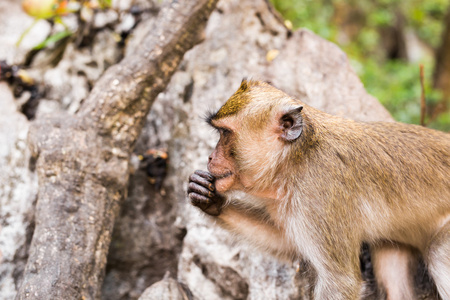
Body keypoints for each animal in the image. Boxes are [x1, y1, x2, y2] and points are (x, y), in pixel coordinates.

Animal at [187, 79, 450, 300]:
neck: (295, 159)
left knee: (438, 254)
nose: (210, 157)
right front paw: (210, 199)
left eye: (225, 133)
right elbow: (286, 242)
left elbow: (340, 281)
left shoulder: (318, 195)